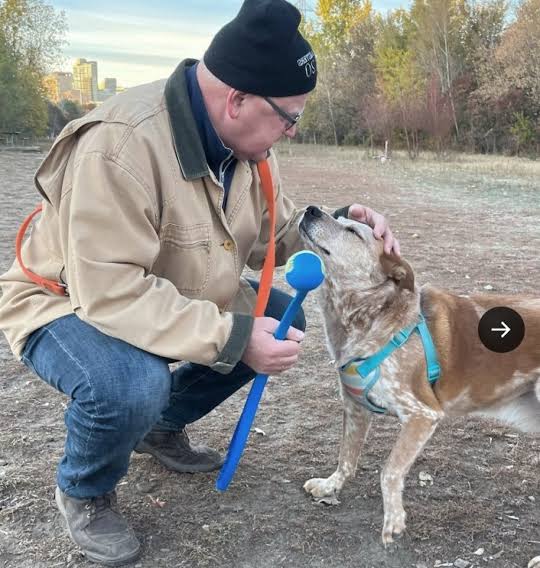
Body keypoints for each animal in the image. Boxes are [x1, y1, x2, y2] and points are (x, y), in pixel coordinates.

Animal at [300, 206, 540, 544]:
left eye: (353, 231)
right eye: (338, 216)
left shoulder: (422, 414)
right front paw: (329, 485)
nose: (311, 209)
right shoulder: (355, 407)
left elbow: (389, 471)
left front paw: (393, 519)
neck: (371, 319)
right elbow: (346, 457)